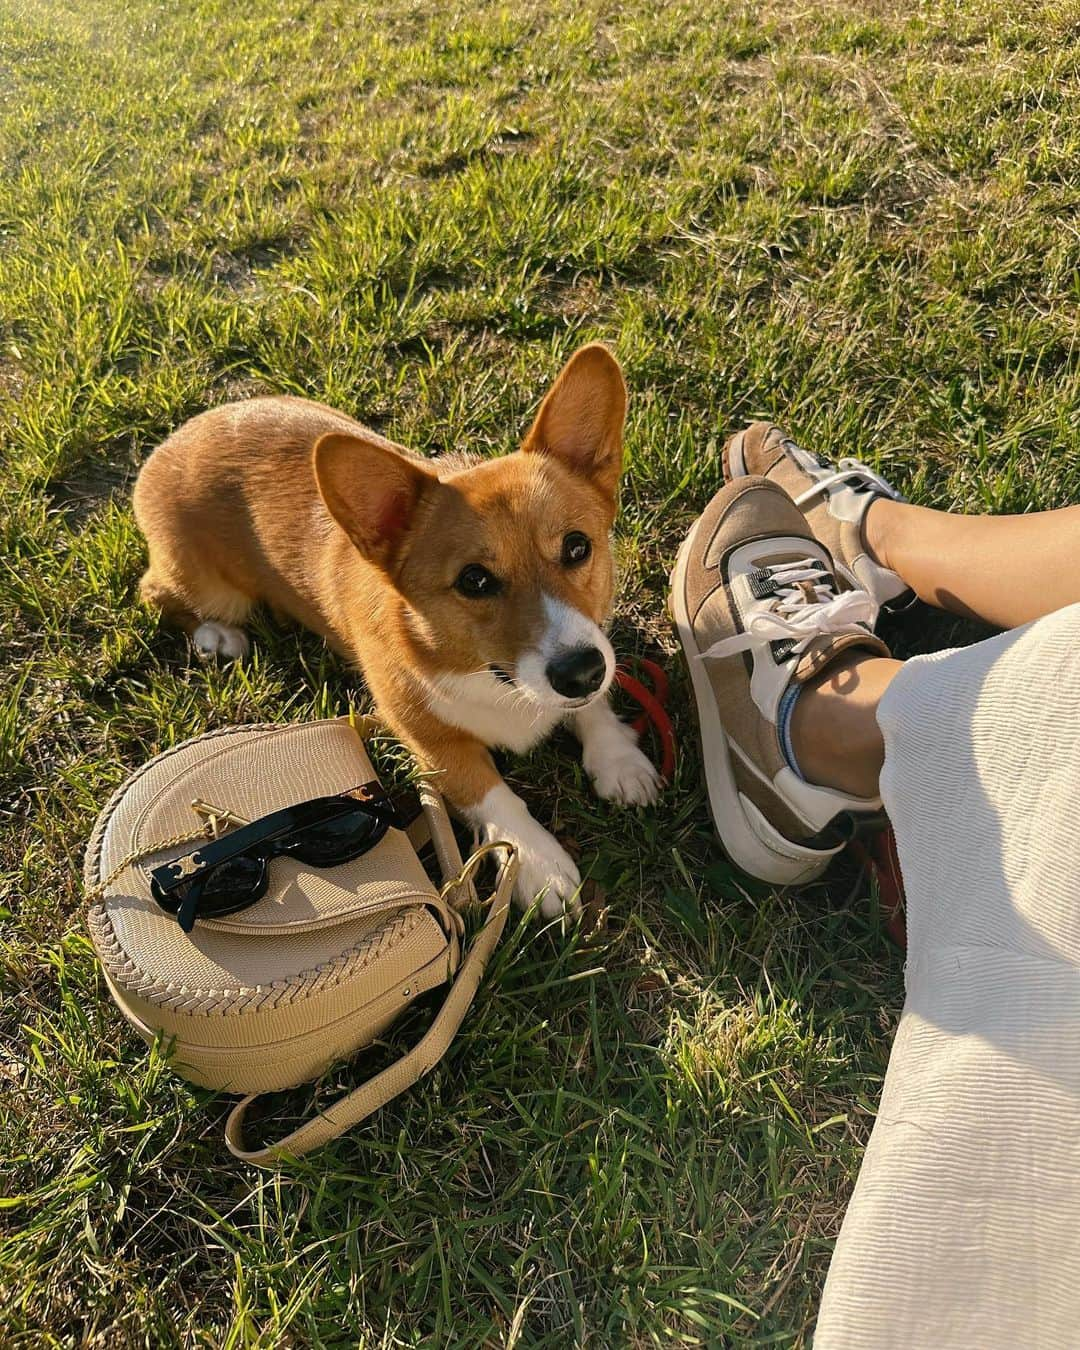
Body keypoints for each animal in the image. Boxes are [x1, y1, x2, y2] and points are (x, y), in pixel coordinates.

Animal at [133, 348, 658, 918]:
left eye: (578, 547)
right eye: (474, 580)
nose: (581, 673)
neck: (497, 680)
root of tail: (176, 441)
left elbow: (594, 708)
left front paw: (617, 757)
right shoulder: (424, 737)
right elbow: (489, 790)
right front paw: (537, 862)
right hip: (211, 589)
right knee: (154, 591)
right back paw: (217, 637)